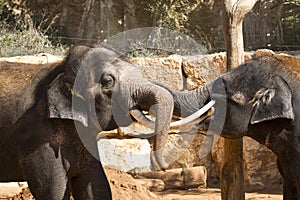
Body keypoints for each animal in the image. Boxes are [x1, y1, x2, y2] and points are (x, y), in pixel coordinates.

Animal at [0, 45, 176, 200]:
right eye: (108, 81)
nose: (165, 167)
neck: (59, 70)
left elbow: (97, 187)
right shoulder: (38, 138)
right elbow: (52, 191)